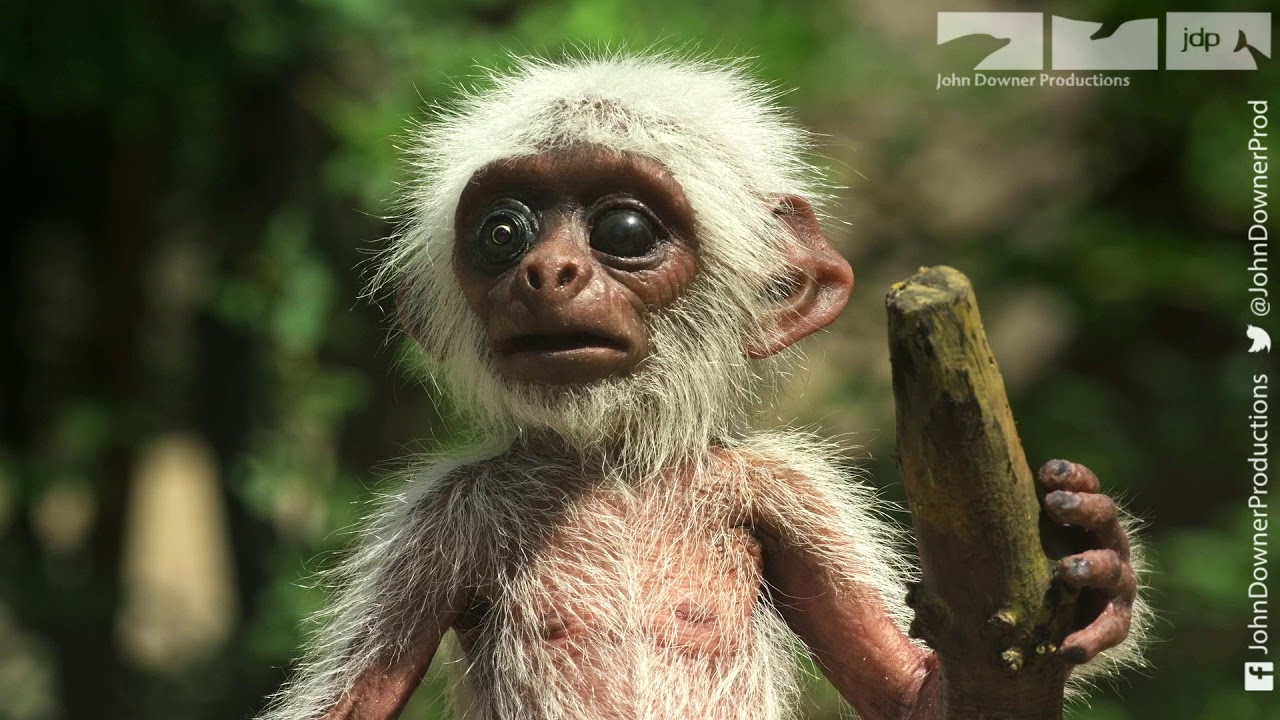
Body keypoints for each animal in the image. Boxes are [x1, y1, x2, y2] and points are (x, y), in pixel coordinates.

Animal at [256, 54, 1149, 720]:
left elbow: (911, 695)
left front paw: (1097, 560)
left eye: (623, 230)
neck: (611, 473)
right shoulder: (438, 522)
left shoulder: (787, 492)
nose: (547, 270)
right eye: (502, 233)